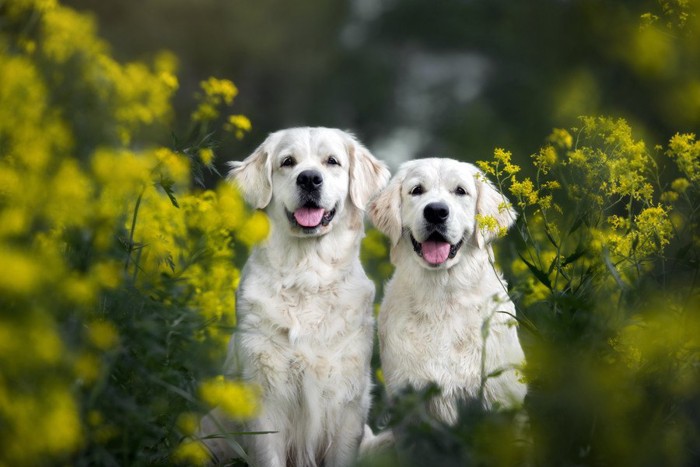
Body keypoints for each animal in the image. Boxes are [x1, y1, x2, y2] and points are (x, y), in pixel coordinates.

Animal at [200, 128, 392, 467]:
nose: (309, 179)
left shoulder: (348, 402)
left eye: (332, 161)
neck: (307, 277)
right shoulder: (264, 396)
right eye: (287, 162)